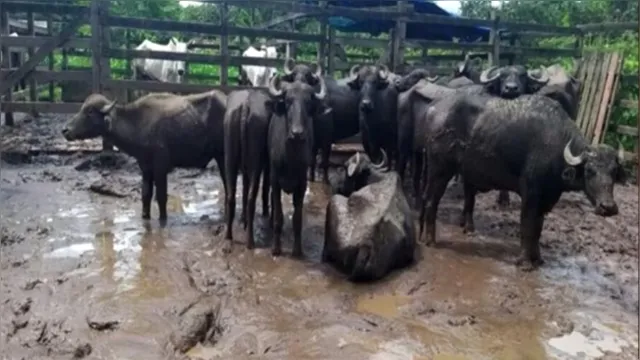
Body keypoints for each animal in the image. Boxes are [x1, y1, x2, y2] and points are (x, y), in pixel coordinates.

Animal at [62, 90, 228, 222]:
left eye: (90, 111)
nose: (65, 130)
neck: (137, 123)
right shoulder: (145, 167)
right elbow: (146, 194)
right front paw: (145, 217)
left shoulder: (161, 166)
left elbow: (161, 196)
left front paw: (163, 219)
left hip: (223, 156)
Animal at [224, 88, 272, 250]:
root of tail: (245, 105)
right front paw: (265, 214)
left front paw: (242, 220)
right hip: (255, 140)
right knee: (253, 190)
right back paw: (250, 242)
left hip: (231, 134)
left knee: (232, 191)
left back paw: (228, 237)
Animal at [266, 74, 328, 258]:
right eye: (288, 101)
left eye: (308, 103)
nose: (297, 133)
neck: (290, 158)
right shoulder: (275, 180)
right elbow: (278, 216)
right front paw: (276, 248)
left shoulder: (302, 184)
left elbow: (297, 219)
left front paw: (297, 250)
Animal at [420, 92, 624, 270]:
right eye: (590, 171)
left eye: (613, 171)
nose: (608, 207)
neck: (556, 145)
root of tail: (433, 108)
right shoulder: (530, 193)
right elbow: (527, 225)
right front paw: (525, 262)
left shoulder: (545, 198)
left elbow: (538, 228)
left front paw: (538, 258)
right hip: (440, 170)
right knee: (431, 201)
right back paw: (430, 240)